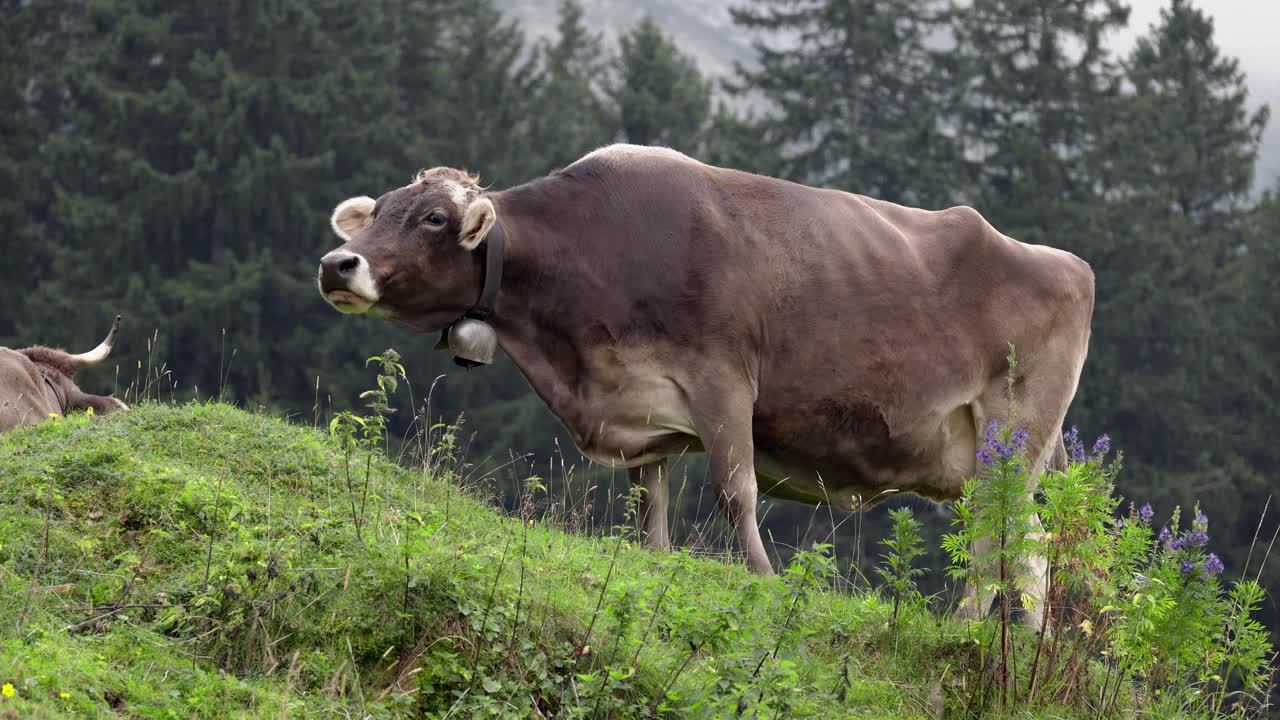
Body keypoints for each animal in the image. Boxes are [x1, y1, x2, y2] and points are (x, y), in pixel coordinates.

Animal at [314, 144, 1095, 622]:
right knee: (1028, 546)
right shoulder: (638, 408)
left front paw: (763, 580)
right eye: (377, 210)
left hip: (1012, 435)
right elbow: (649, 508)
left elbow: (734, 492)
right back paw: (1017, 643)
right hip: (981, 458)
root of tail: (1066, 261)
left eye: (432, 217)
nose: (337, 263)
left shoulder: (723, 379)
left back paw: (963, 628)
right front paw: (656, 563)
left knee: (999, 540)